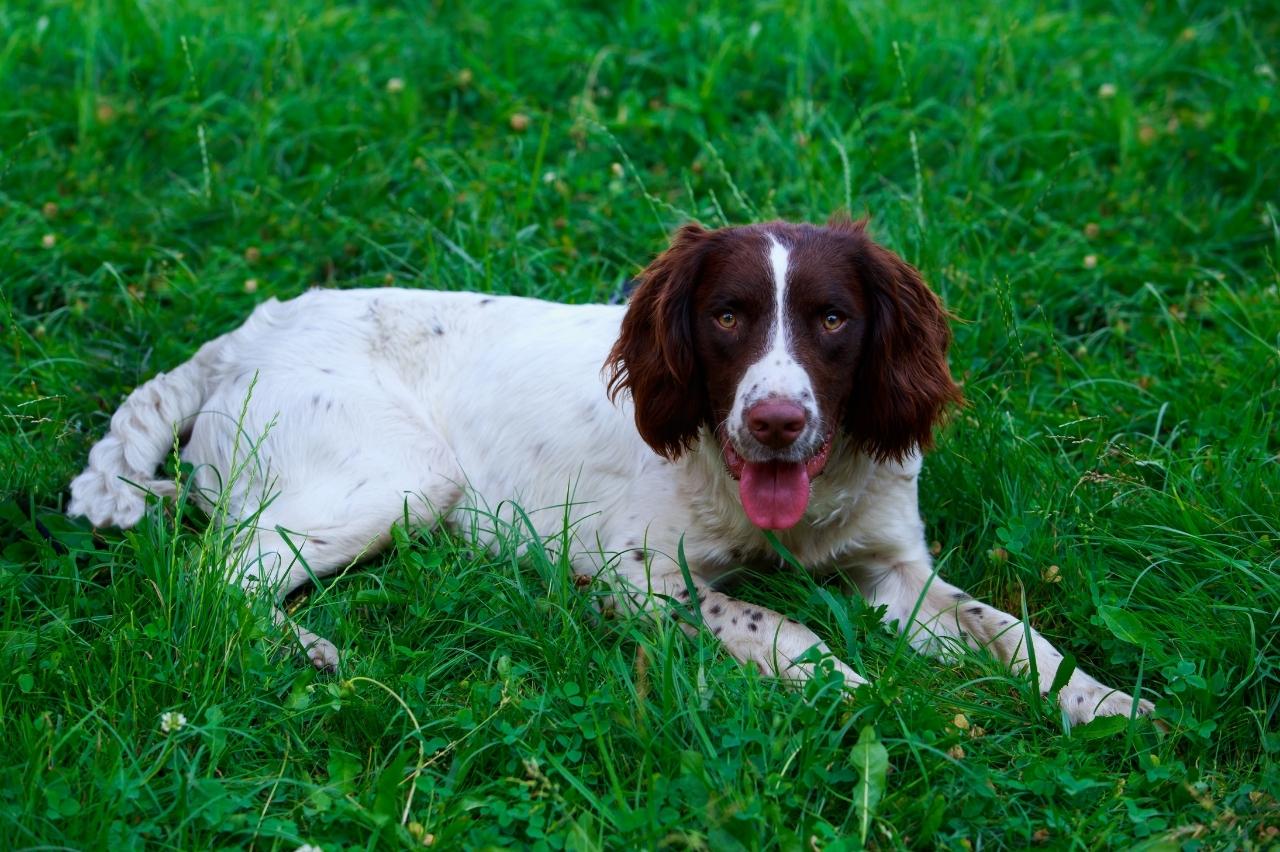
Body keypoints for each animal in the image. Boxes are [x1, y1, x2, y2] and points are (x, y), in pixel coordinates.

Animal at [64, 216, 1157, 721]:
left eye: (832, 319)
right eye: (727, 316)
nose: (773, 420)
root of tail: (250, 329)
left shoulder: (897, 568)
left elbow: (1009, 631)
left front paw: (1104, 702)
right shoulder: (629, 569)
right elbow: (764, 616)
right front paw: (836, 681)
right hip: (395, 478)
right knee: (211, 576)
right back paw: (307, 652)